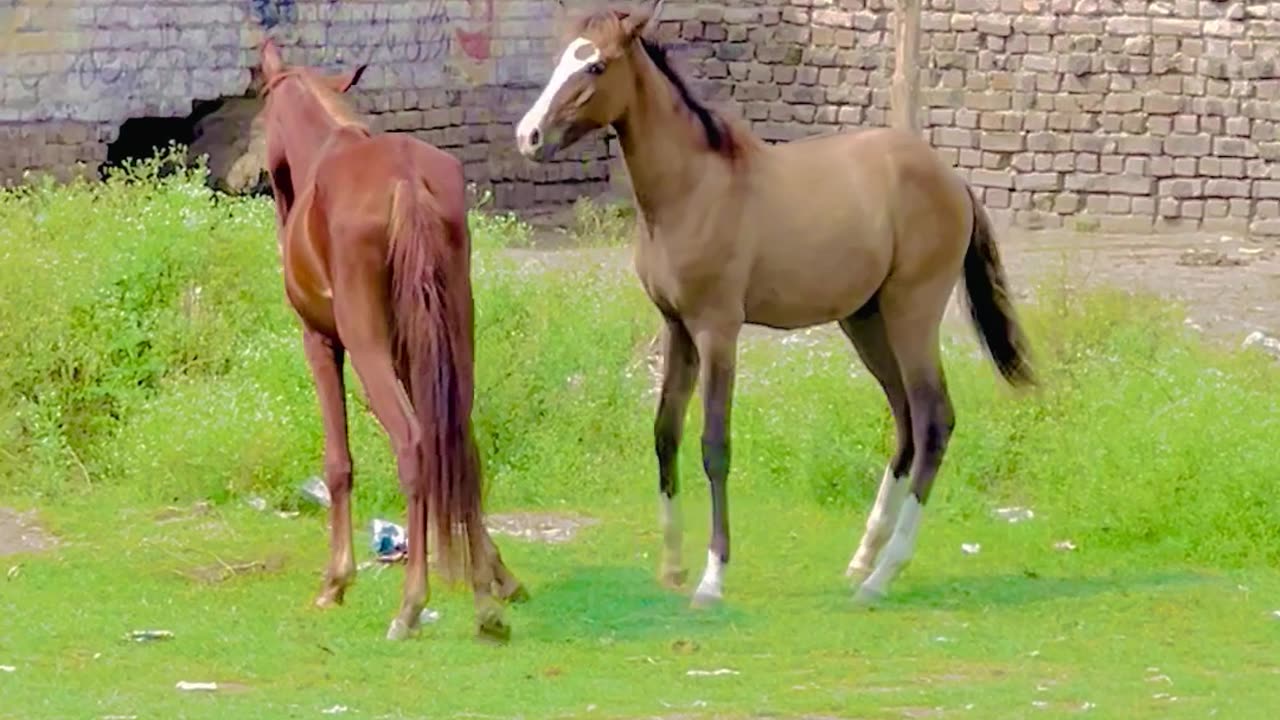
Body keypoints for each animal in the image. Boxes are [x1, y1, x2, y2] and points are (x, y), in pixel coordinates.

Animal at [258, 39, 524, 638]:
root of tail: (405, 180)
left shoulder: (320, 341)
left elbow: (338, 461)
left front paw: (336, 580)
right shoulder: (414, 345)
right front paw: (499, 575)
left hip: (368, 345)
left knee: (413, 441)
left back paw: (411, 603)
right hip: (453, 332)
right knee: (458, 439)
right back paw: (484, 601)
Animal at [514, 1, 1034, 604]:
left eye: (595, 66)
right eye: (562, 57)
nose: (528, 135)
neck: (693, 188)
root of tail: (954, 181)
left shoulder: (718, 329)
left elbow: (714, 445)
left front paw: (713, 576)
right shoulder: (676, 327)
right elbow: (665, 433)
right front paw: (672, 567)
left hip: (913, 315)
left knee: (933, 421)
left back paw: (881, 575)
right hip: (866, 321)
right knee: (905, 420)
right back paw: (862, 557)